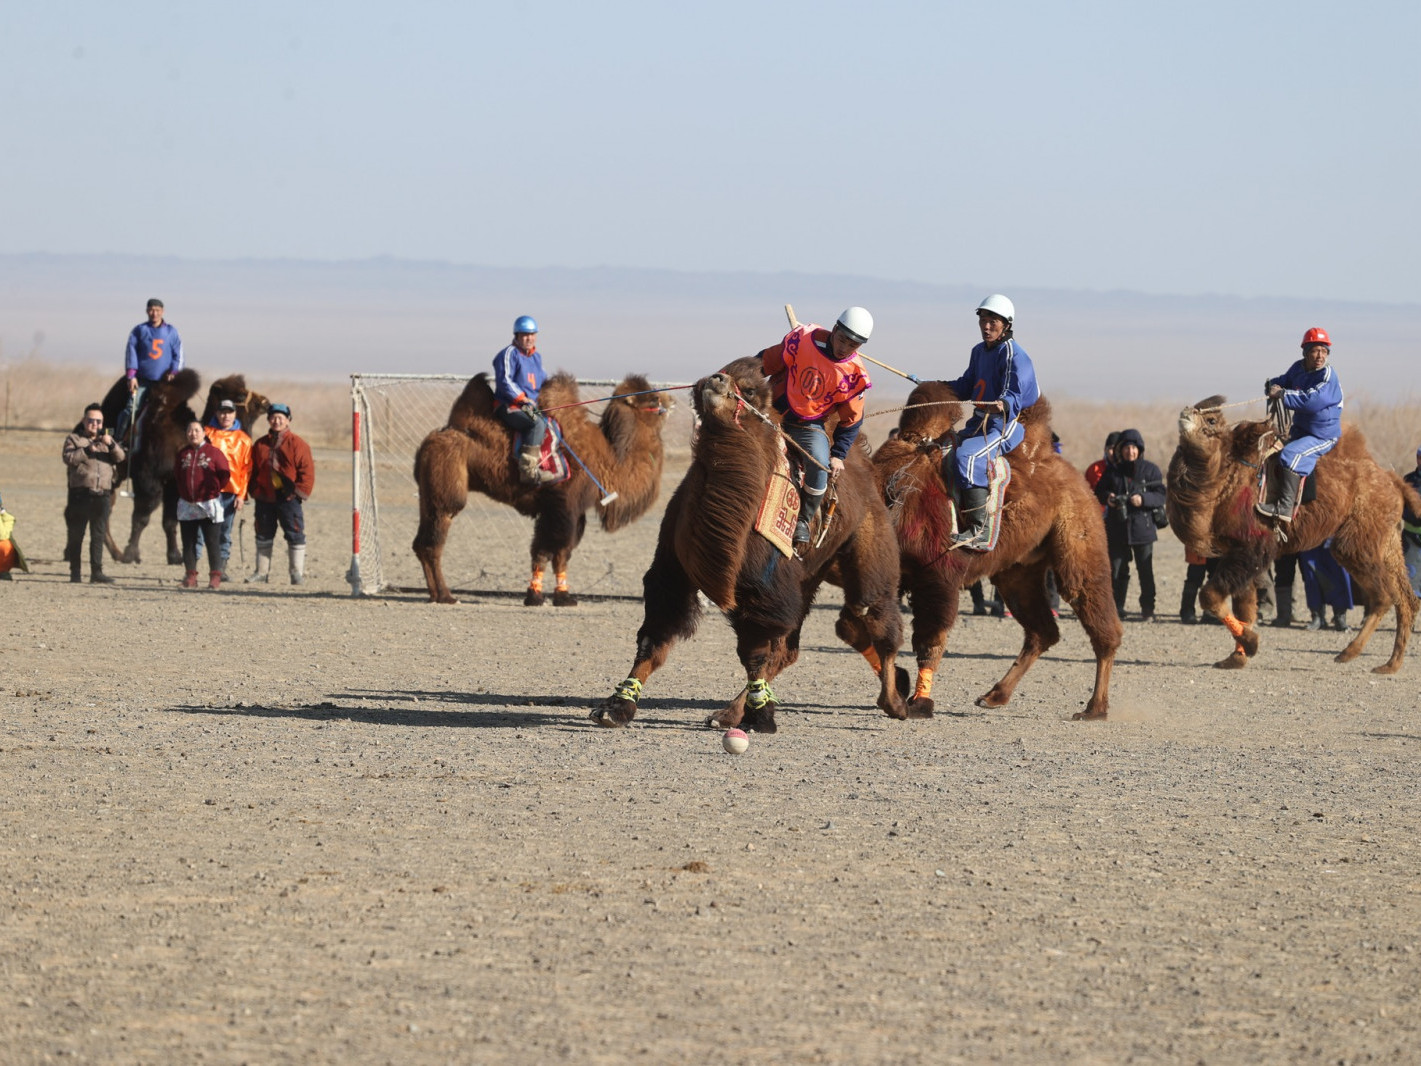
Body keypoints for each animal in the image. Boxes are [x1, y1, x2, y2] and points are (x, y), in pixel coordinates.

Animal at [414, 372, 673, 608]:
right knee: (435, 540)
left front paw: (557, 597)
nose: (671, 400)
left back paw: (436, 594)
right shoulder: (562, 506)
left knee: (421, 543)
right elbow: (549, 551)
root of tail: (431, 440)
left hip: (428, 492)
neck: (608, 459)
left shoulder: (571, 512)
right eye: (652, 398)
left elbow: (557, 554)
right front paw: (542, 597)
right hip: (447, 486)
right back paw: (446, 596)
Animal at [588, 359, 909, 733]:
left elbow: (753, 651)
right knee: (790, 648)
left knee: (873, 613)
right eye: (710, 376)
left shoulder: (763, 587)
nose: (716, 380)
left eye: (751, 390)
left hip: (869, 544)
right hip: (810, 574)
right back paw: (728, 713)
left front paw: (761, 715)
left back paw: (895, 703)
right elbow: (653, 638)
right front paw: (616, 707)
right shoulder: (672, 571)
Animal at [875, 380, 1119, 722]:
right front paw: (895, 692)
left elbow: (929, 641)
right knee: (1043, 631)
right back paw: (994, 696)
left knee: (1094, 611)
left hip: (1080, 536)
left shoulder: (936, 575)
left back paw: (1094, 708)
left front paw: (919, 703)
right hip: (1017, 570)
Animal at [1165, 397, 1421, 670]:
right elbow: (1244, 606)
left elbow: (1211, 596)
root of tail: (1394, 481)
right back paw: (1390, 664)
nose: (1186, 411)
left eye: (1211, 419)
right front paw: (1236, 657)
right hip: (1387, 539)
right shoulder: (1236, 549)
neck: (1226, 478)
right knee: (1406, 598)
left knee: (1383, 596)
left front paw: (1251, 643)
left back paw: (1349, 652)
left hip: (1356, 540)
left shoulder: (1252, 548)